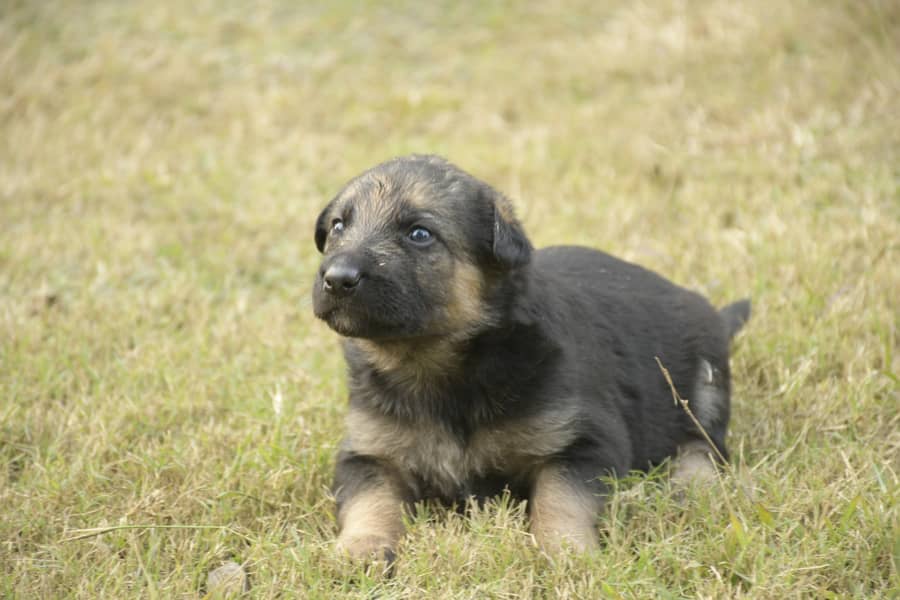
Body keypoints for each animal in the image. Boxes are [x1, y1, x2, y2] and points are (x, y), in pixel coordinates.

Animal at [312, 156, 748, 564]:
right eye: (338, 226)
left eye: (419, 234)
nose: (337, 279)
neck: (434, 365)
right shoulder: (368, 453)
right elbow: (370, 500)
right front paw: (361, 548)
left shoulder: (584, 440)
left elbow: (561, 496)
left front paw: (565, 550)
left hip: (705, 384)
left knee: (703, 446)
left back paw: (690, 486)